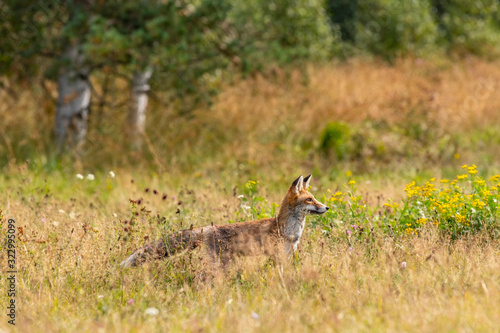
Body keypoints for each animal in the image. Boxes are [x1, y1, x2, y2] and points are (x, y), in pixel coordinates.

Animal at [120, 174, 328, 268]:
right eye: (309, 200)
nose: (326, 207)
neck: (288, 231)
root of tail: (207, 228)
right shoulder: (277, 256)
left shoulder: (285, 256)